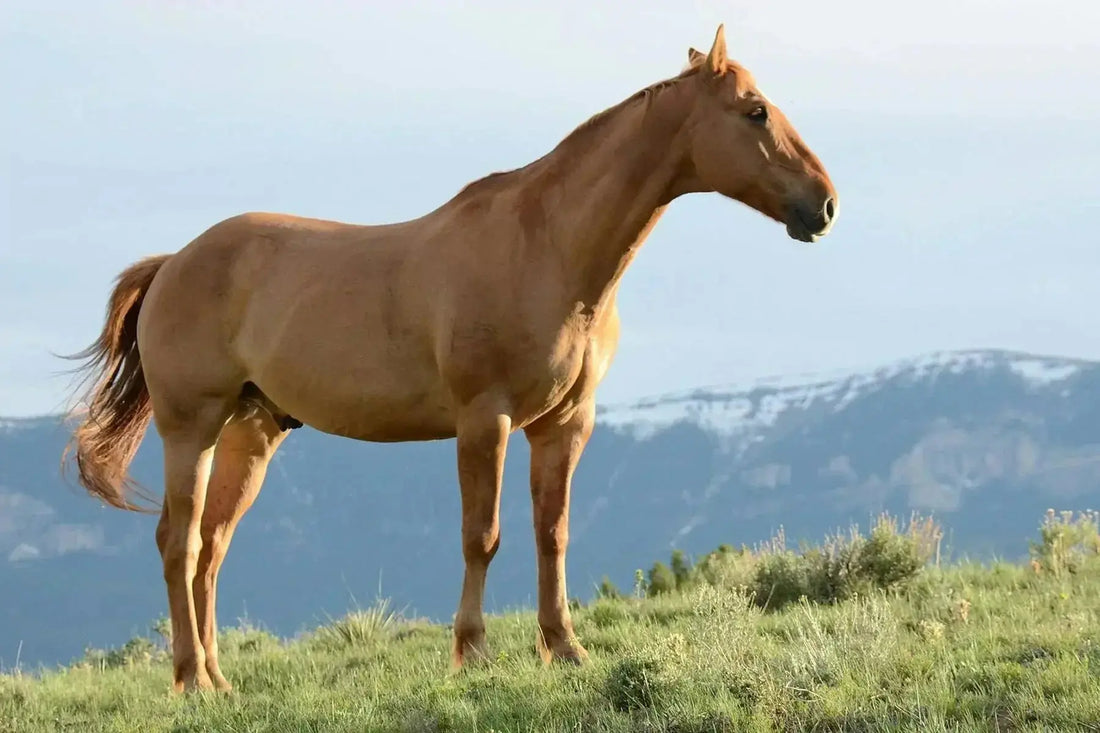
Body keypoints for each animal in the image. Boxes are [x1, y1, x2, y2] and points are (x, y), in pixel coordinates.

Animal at [63, 25, 837, 693]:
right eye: (755, 111)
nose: (824, 205)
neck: (547, 249)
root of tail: (173, 263)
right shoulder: (483, 420)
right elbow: (482, 536)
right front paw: (473, 651)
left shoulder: (565, 424)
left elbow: (552, 534)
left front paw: (565, 648)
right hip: (190, 426)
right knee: (179, 542)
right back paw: (192, 679)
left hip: (250, 433)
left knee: (213, 547)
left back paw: (220, 680)